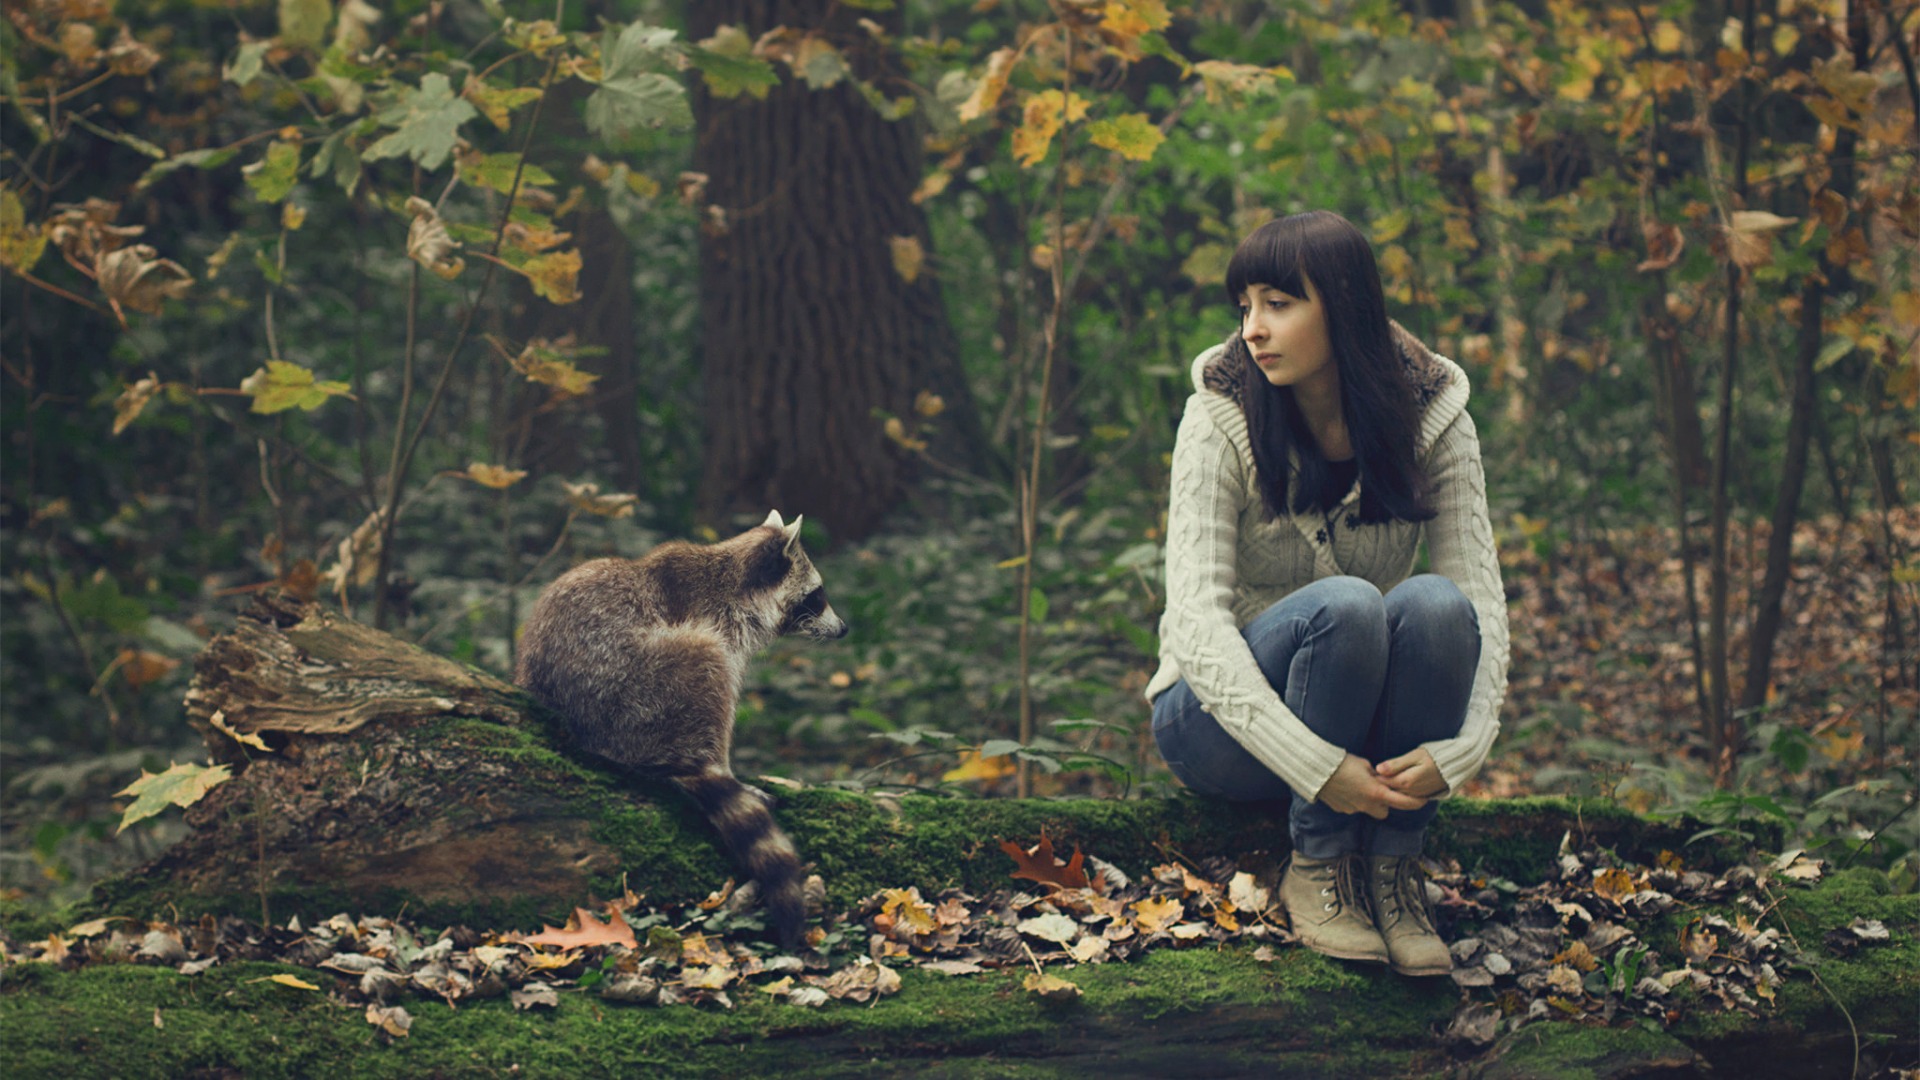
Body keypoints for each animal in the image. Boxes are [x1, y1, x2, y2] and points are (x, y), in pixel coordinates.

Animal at [510, 507, 848, 941]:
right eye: (817, 596)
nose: (844, 629)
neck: (734, 581)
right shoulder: (714, 622)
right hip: (638, 688)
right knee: (707, 663)